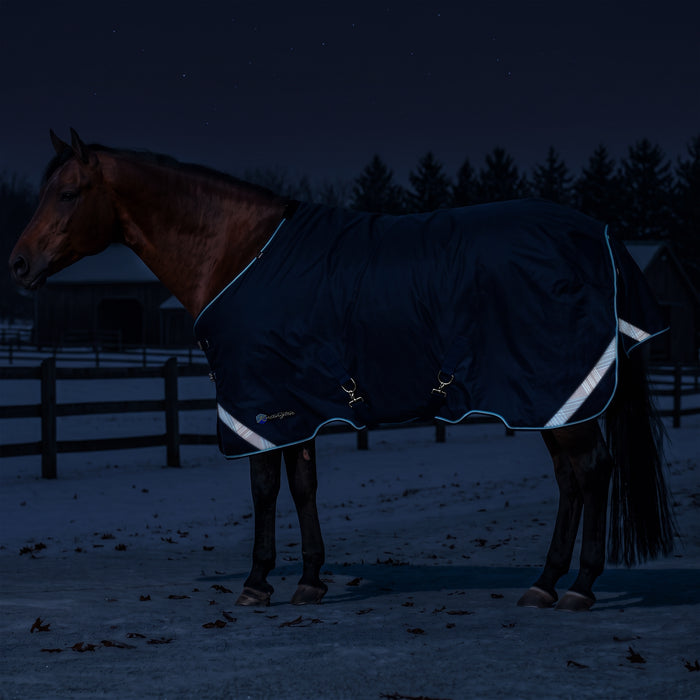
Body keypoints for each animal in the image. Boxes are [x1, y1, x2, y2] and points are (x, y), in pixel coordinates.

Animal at [9, 129, 675, 612]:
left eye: (68, 193)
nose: (17, 264)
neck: (237, 252)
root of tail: (599, 237)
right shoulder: (296, 407)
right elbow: (302, 486)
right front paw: (309, 579)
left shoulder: (258, 406)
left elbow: (264, 489)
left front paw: (256, 582)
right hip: (556, 403)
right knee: (573, 480)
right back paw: (546, 581)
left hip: (558, 396)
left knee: (592, 472)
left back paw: (577, 587)